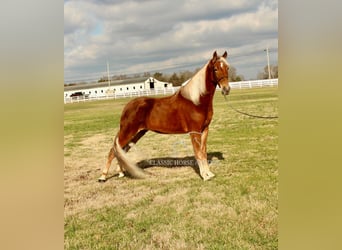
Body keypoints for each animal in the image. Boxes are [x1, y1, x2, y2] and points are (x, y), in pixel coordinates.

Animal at [99, 50, 232, 182]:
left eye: (227, 68)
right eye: (215, 69)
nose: (226, 89)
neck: (196, 101)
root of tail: (127, 106)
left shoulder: (204, 130)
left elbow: (203, 151)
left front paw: (209, 174)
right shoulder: (194, 132)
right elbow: (198, 153)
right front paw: (204, 176)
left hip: (137, 133)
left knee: (122, 151)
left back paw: (121, 173)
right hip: (127, 132)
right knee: (113, 151)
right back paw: (103, 177)